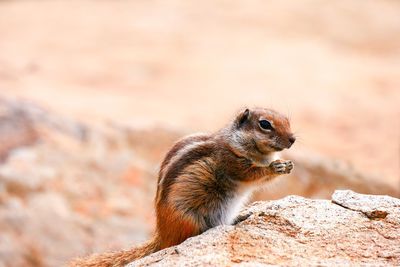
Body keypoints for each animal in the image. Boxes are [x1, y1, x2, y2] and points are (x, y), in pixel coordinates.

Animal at [69, 108, 294, 266]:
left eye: (287, 119)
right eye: (265, 124)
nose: (292, 139)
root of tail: (163, 234)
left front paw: (287, 165)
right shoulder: (231, 162)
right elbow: (252, 174)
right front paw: (276, 167)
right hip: (191, 219)